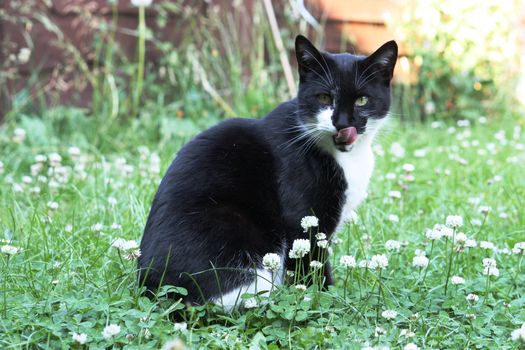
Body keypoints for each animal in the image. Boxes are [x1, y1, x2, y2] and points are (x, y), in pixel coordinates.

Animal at [137, 34, 396, 308]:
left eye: (362, 100)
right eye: (325, 98)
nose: (343, 123)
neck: (348, 157)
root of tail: (152, 286)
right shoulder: (302, 216)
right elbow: (311, 264)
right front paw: (323, 296)